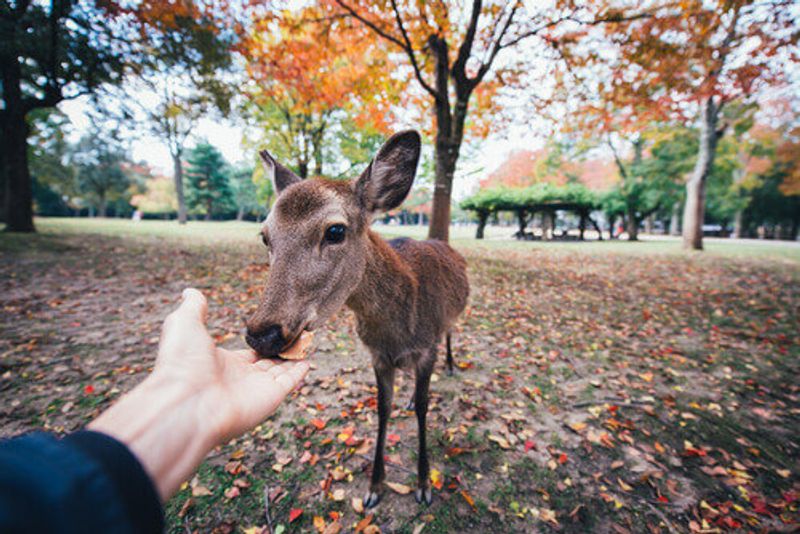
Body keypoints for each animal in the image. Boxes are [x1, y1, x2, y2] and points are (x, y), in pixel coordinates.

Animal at [244, 131, 468, 510]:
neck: (398, 327)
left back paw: (451, 366)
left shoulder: (426, 347)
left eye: (335, 231)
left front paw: (424, 483)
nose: (262, 334)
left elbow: (425, 409)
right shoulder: (377, 356)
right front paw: (374, 487)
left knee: (451, 333)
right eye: (264, 236)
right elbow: (383, 409)